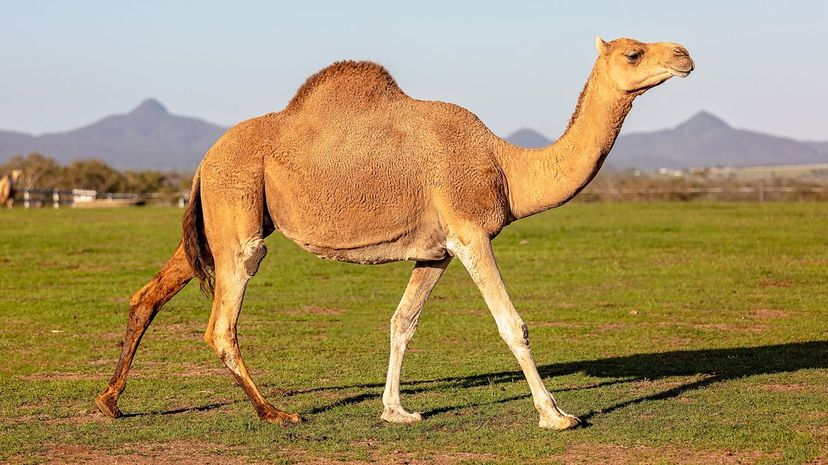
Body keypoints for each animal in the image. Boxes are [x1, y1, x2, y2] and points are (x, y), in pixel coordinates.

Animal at [96, 37, 693, 430]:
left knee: (148, 294)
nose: (685, 55)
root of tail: (204, 158)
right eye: (634, 53)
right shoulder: (471, 233)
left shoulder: (437, 252)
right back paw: (275, 412)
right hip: (238, 213)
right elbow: (512, 325)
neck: (506, 166)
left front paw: (396, 410)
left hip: (217, 220)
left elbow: (401, 323)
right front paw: (557, 415)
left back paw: (109, 401)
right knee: (223, 320)